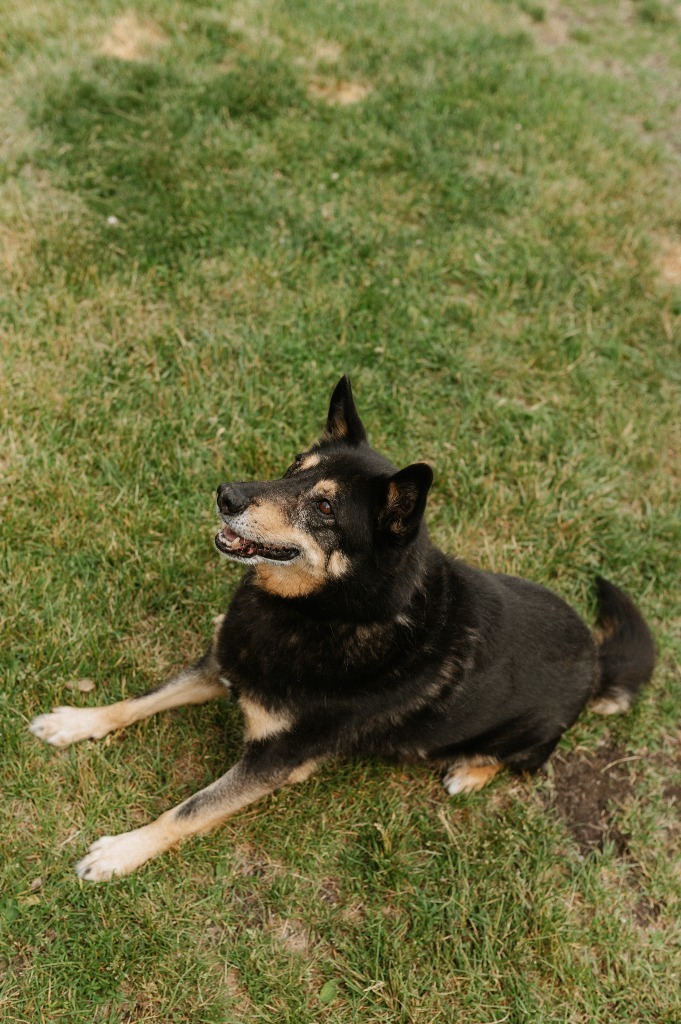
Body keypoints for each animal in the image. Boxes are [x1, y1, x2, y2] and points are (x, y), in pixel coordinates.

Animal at [29, 376, 655, 880]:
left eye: (326, 509)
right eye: (293, 467)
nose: (226, 495)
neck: (319, 614)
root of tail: (598, 660)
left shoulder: (276, 761)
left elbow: (190, 810)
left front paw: (120, 852)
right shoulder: (223, 663)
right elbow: (138, 701)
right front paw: (74, 722)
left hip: (528, 738)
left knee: (526, 760)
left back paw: (471, 773)